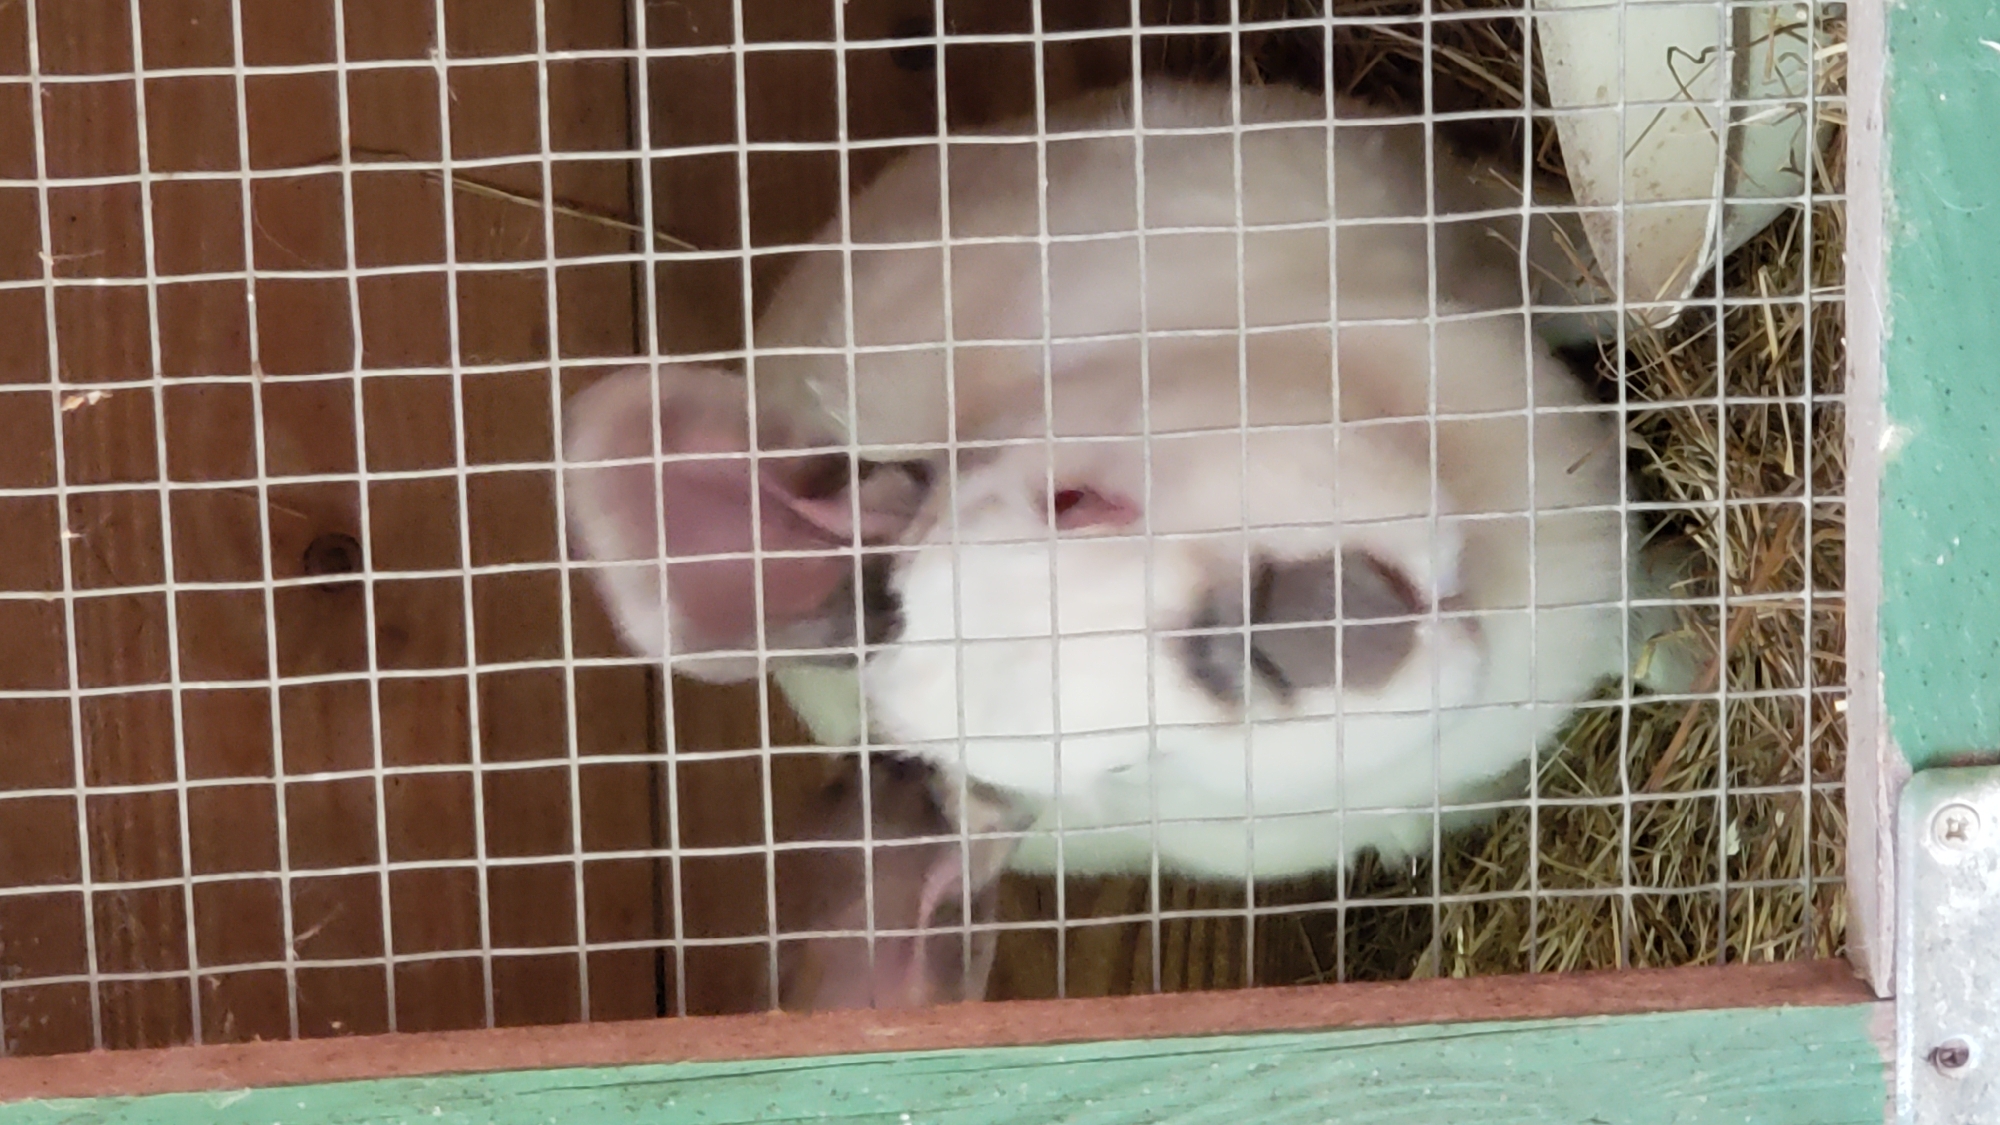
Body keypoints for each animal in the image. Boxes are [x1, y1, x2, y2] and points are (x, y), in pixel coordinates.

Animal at [563, 78, 1697, 1009]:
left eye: (1069, 497)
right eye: (1121, 764)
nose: (1332, 624)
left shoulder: (1461, 209)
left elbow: (1585, 261)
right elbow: (1656, 627)